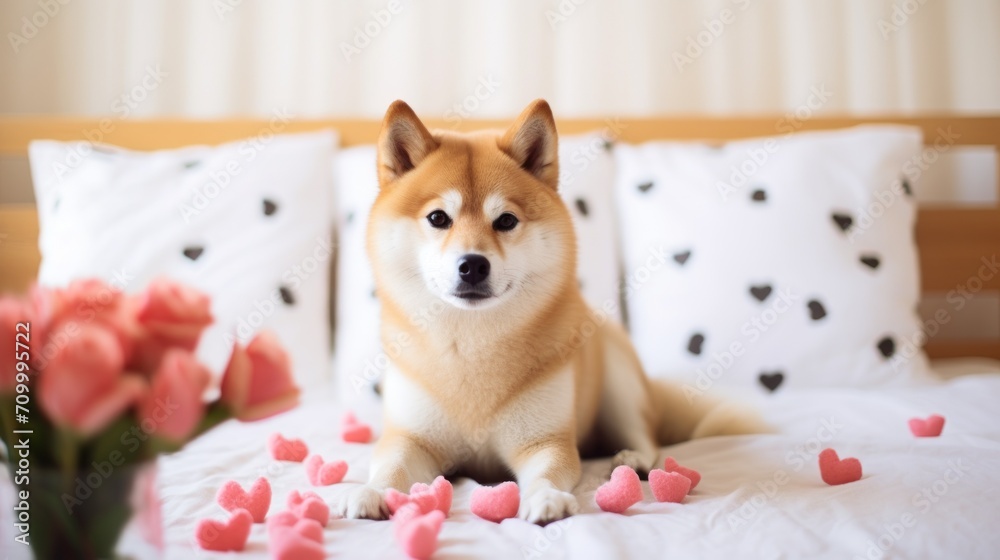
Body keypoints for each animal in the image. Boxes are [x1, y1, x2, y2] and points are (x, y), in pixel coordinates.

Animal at [336, 98, 764, 524]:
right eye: (438, 218)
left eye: (506, 220)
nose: (473, 264)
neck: (472, 345)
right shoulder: (409, 439)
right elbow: (391, 467)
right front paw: (371, 491)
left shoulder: (546, 440)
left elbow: (548, 471)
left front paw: (545, 497)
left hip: (619, 383)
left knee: (646, 436)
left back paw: (634, 459)